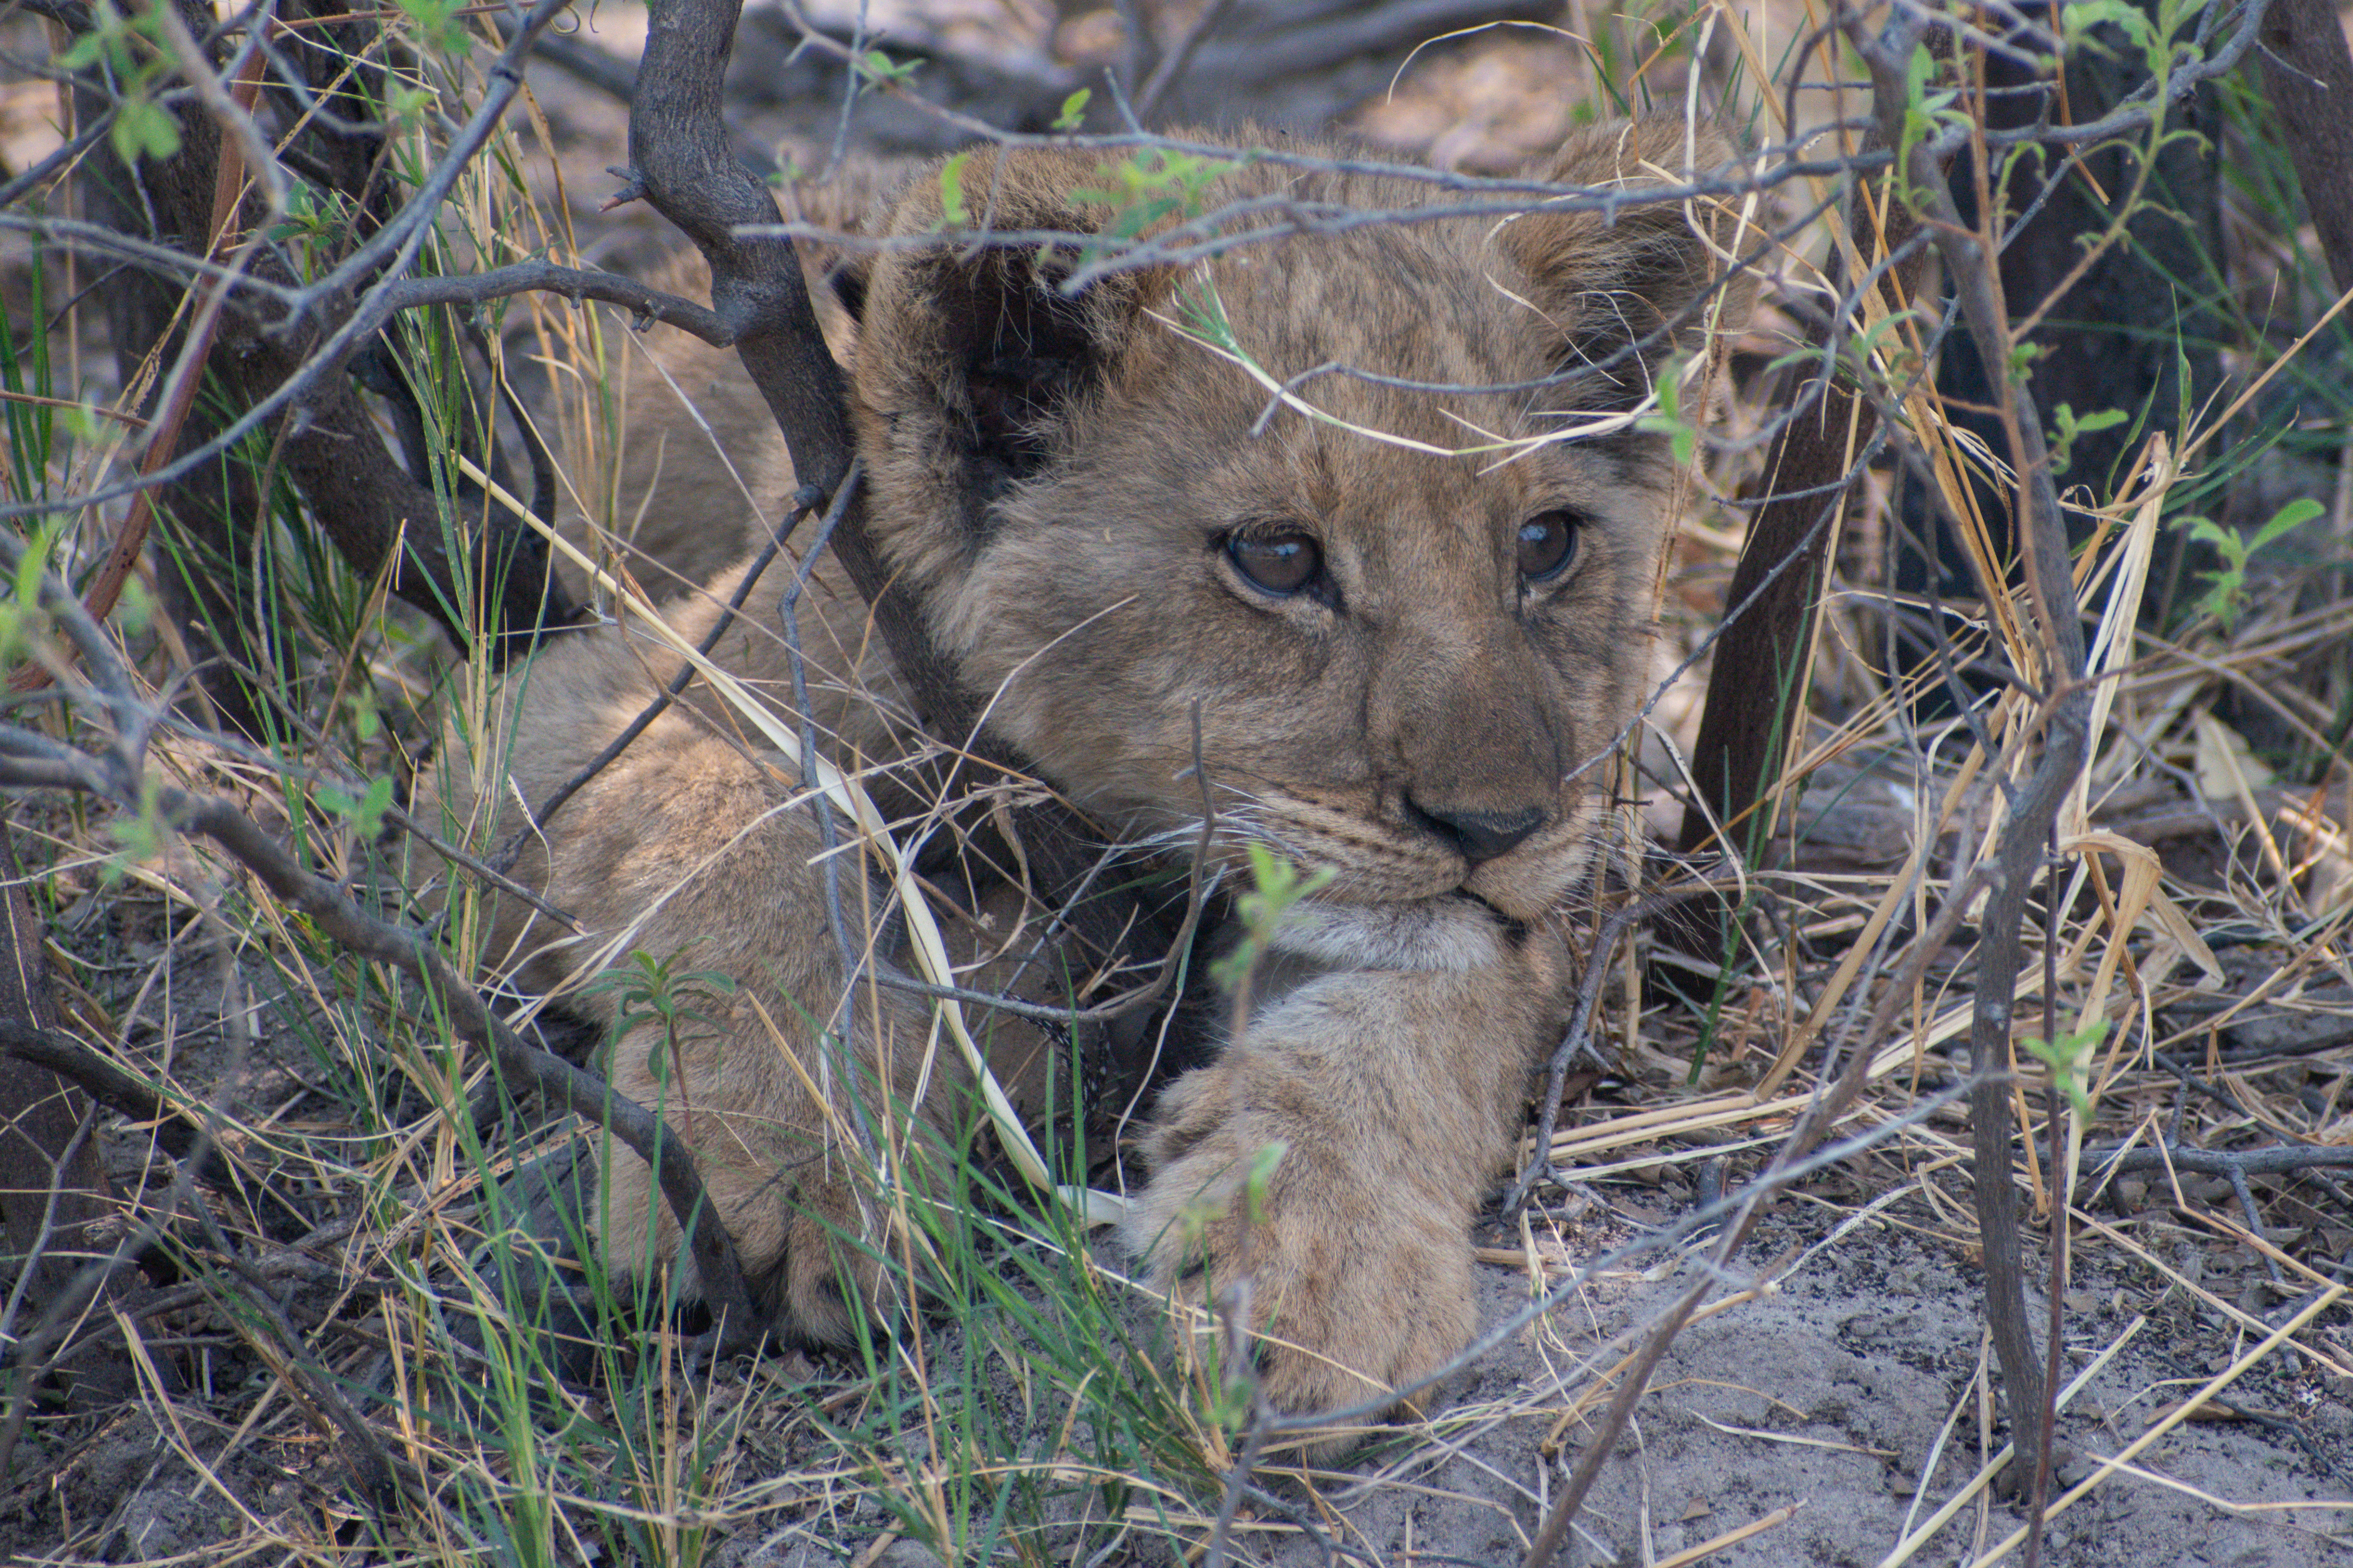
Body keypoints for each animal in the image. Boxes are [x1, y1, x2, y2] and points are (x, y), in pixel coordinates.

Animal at [419, 116, 1748, 1441]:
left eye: (1546, 543)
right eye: (1278, 557)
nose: (1494, 826)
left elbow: (1439, 997)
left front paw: (1318, 1254)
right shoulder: (560, 705)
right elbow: (743, 829)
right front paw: (785, 1165)